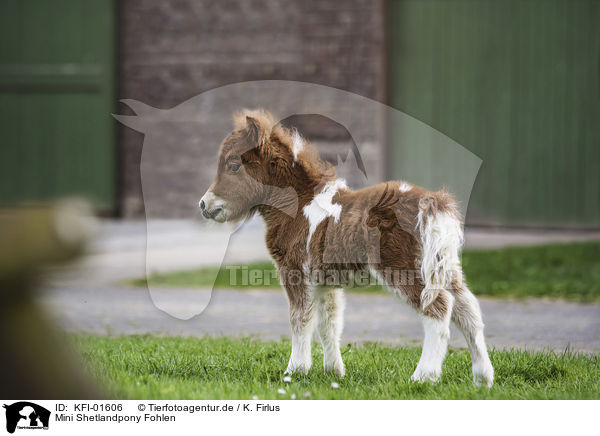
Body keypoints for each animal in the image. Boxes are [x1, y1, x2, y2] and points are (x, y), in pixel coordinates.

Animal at [199, 109, 494, 384]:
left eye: (233, 165)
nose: (204, 204)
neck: (299, 204)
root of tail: (433, 203)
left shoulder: (294, 272)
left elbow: (300, 320)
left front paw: (294, 372)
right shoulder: (324, 280)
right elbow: (328, 324)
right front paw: (334, 372)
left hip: (405, 268)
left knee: (439, 308)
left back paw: (423, 377)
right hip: (443, 265)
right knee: (468, 310)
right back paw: (483, 377)